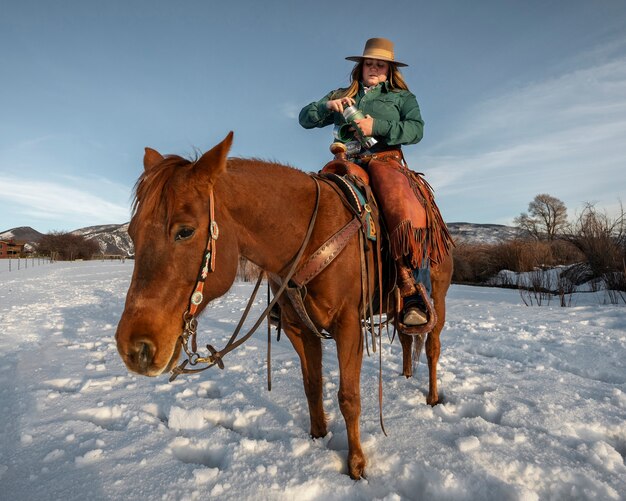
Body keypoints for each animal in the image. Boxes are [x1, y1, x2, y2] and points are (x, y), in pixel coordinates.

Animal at [114, 132, 450, 476]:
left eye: (185, 231)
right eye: (132, 233)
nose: (135, 347)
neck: (308, 235)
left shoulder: (348, 327)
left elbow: (349, 396)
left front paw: (356, 464)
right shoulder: (298, 327)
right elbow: (312, 385)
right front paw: (318, 437)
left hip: (437, 299)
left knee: (431, 347)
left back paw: (432, 397)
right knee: (407, 339)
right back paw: (406, 375)